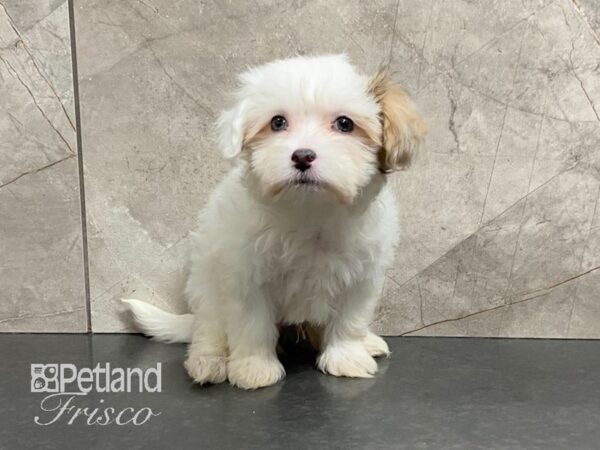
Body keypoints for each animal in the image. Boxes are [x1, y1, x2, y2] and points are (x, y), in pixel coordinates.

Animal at [124, 54, 426, 388]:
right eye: (277, 122)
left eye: (345, 124)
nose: (303, 156)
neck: (310, 209)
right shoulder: (247, 276)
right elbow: (252, 325)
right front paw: (254, 368)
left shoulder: (361, 277)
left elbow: (349, 320)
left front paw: (347, 358)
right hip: (205, 285)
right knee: (209, 327)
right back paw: (209, 361)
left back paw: (367, 343)